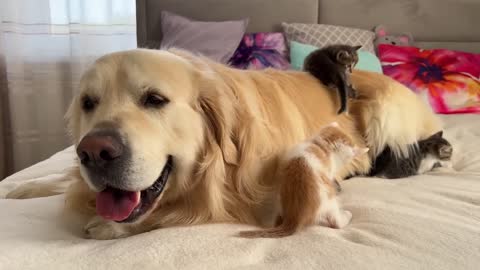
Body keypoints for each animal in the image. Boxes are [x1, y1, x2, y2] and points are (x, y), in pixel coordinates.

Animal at [239, 122, 368, 238]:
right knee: (336, 222)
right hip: (329, 199)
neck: (321, 146)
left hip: (278, 199)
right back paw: (346, 216)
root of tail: (295, 218)